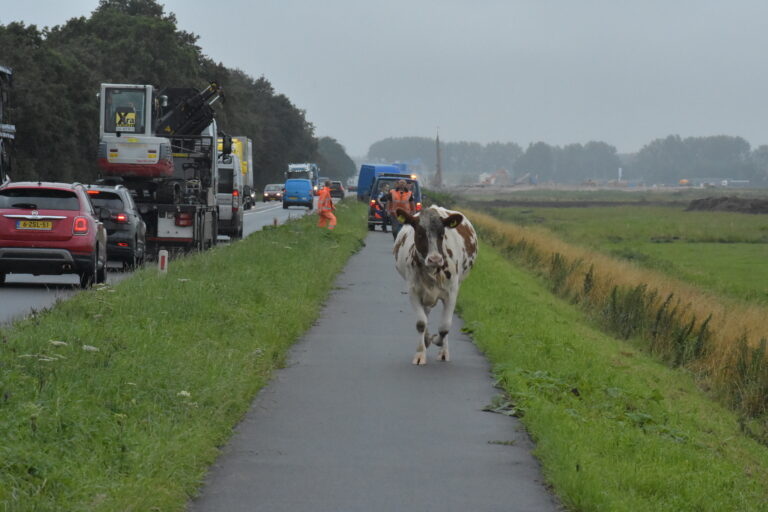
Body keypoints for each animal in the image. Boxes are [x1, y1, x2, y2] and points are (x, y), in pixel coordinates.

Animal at [392, 204, 476, 364]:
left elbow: (444, 327)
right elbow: (421, 322)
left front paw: (437, 341)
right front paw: (421, 353)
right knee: (426, 314)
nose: (435, 259)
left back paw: (443, 351)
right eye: (419, 233)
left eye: (442, 234)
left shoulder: (452, 293)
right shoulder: (413, 291)